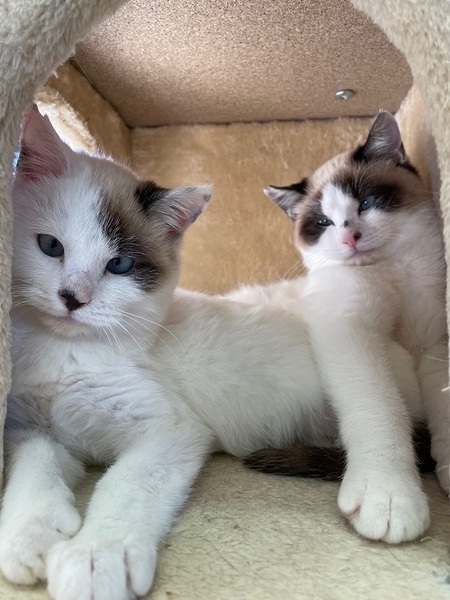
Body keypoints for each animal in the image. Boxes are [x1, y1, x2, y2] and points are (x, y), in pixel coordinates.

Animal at [235, 111, 449, 505]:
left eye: (366, 202)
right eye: (323, 223)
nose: (350, 237)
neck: (390, 273)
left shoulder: (432, 344)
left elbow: (443, 408)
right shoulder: (350, 332)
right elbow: (380, 406)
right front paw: (388, 493)